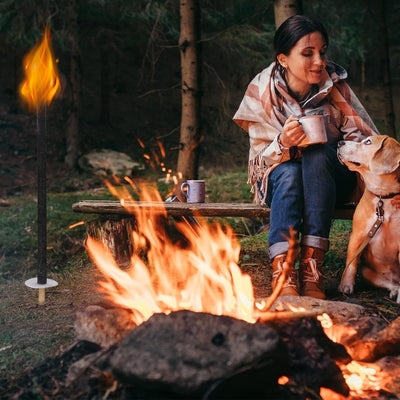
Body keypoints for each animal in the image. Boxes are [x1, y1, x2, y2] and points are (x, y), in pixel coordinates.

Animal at [338, 136, 400, 302]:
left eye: (368, 142)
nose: (339, 142)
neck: (384, 197)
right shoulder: (358, 235)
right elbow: (351, 263)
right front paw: (345, 286)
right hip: (367, 272)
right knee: (391, 284)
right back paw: (395, 290)